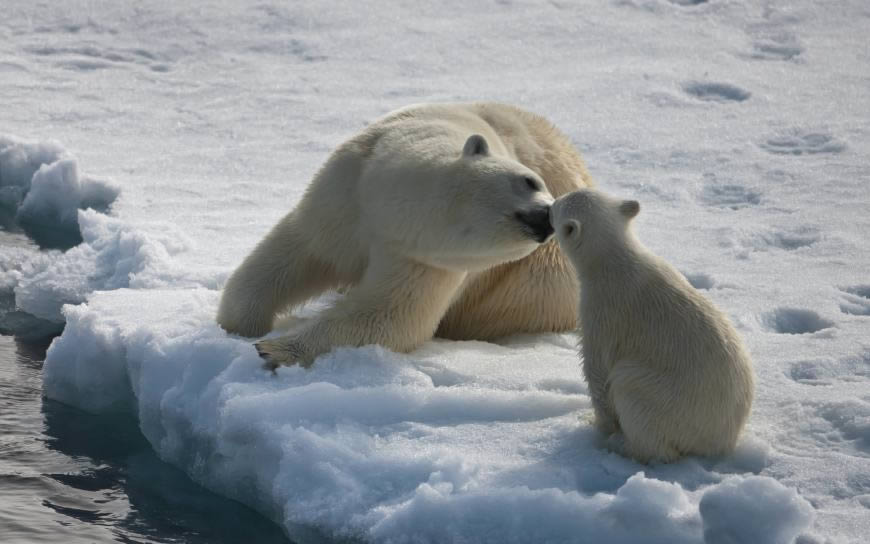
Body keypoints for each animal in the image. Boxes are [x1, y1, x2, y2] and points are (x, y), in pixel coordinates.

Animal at [221, 102, 596, 366]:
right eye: (528, 181)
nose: (547, 218)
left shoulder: (424, 260)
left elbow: (388, 315)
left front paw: (274, 348)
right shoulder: (346, 194)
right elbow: (299, 252)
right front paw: (239, 326)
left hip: (541, 282)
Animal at [556, 189, 752, 462]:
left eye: (557, 207)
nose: (549, 203)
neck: (613, 261)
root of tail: (721, 442)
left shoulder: (602, 310)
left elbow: (597, 368)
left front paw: (599, 426)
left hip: (669, 402)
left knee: (631, 389)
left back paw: (624, 445)